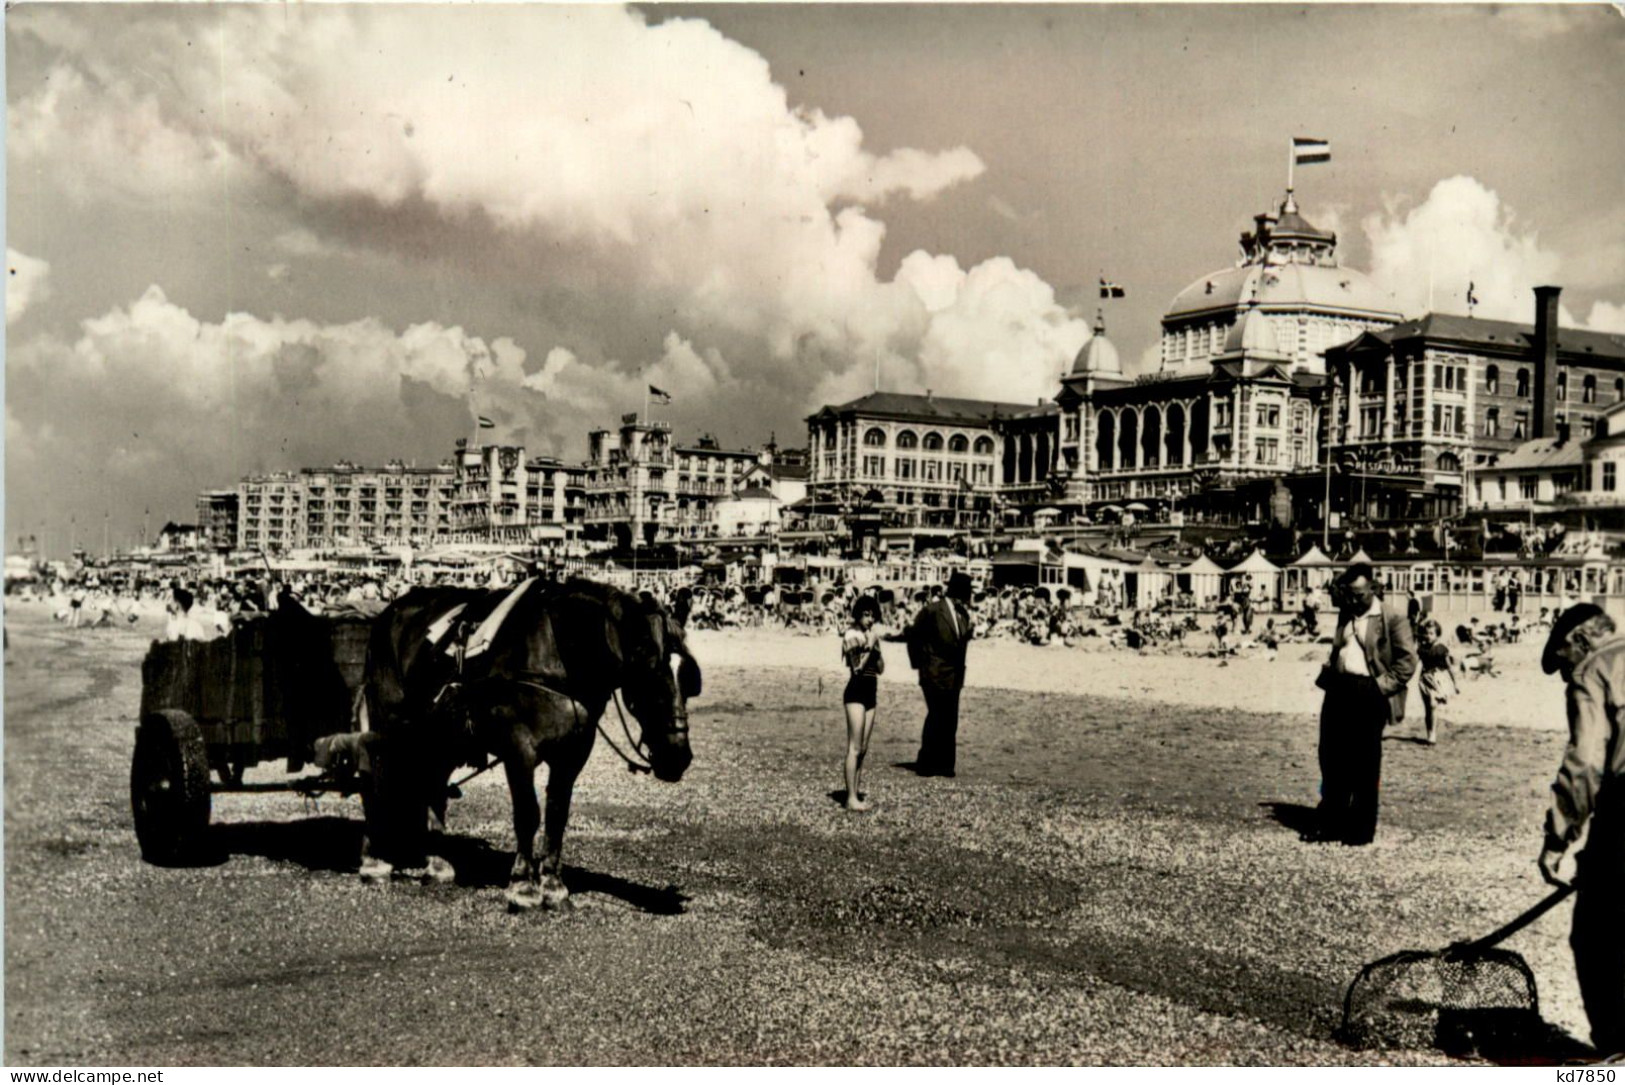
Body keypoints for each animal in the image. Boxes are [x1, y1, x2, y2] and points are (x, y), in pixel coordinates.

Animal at [359, 574, 695, 909]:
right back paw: (374, 860)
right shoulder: (519, 749)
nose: (677, 756)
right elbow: (528, 813)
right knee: (379, 780)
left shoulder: (572, 754)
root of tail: (392, 611)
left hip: (442, 735)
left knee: (433, 785)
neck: (558, 652)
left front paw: (553, 885)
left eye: (689, 677)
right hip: (391, 724)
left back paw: (438, 863)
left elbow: (557, 814)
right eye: (649, 672)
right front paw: (523, 885)